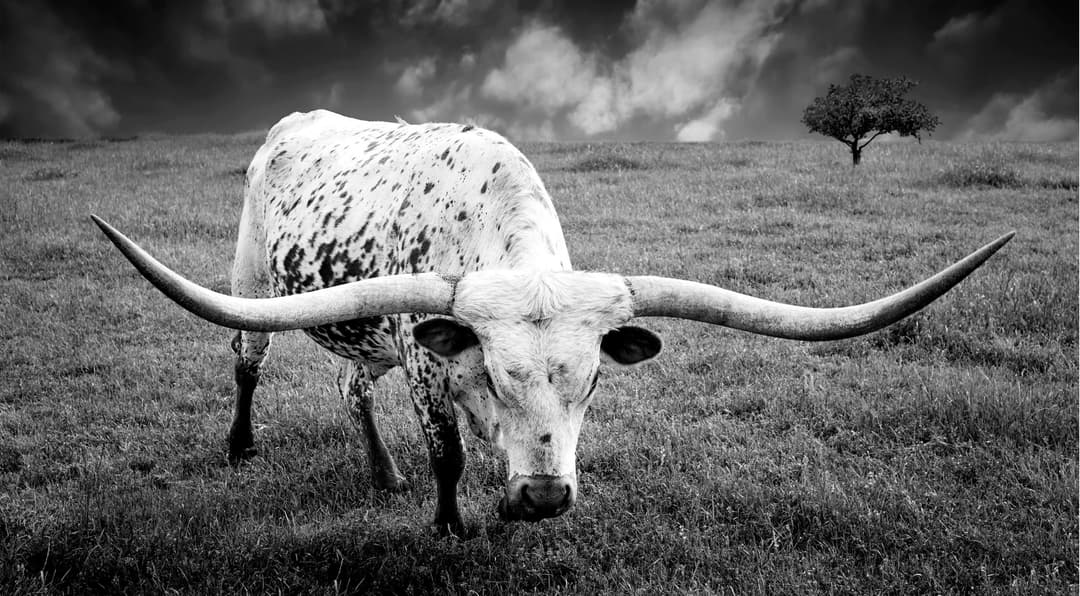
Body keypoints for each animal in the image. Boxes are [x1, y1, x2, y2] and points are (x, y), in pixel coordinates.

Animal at [92, 109, 1013, 536]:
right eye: (493, 375)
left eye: (596, 380)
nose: (541, 497)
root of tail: (295, 122)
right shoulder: (429, 364)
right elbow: (450, 453)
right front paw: (450, 524)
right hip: (254, 282)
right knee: (246, 359)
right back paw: (243, 444)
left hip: (365, 323)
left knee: (352, 388)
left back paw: (381, 472)